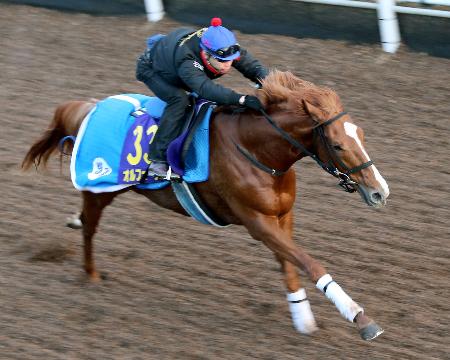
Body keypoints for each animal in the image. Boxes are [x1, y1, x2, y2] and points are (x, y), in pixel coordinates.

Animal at [21, 70, 388, 340]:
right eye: (338, 145)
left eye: (362, 135)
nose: (380, 192)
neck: (257, 151)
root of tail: (89, 107)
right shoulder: (257, 222)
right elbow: (310, 263)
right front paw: (360, 317)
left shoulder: (282, 216)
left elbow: (290, 265)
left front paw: (303, 319)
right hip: (100, 188)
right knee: (90, 226)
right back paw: (91, 274)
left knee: (85, 220)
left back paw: (75, 227)